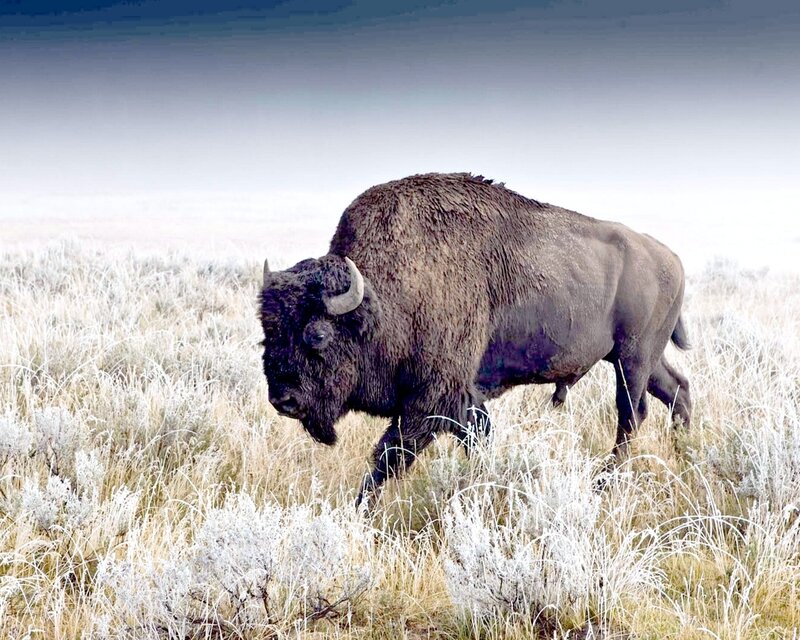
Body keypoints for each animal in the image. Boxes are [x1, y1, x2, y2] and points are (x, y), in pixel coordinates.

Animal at [259, 173, 691, 506]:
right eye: (267, 332)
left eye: (317, 334)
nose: (284, 400)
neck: (384, 299)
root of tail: (671, 258)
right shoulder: (463, 400)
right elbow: (476, 441)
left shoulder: (431, 401)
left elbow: (389, 456)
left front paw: (360, 510)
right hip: (638, 358)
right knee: (677, 389)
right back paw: (683, 451)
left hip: (632, 358)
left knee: (631, 413)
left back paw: (605, 481)